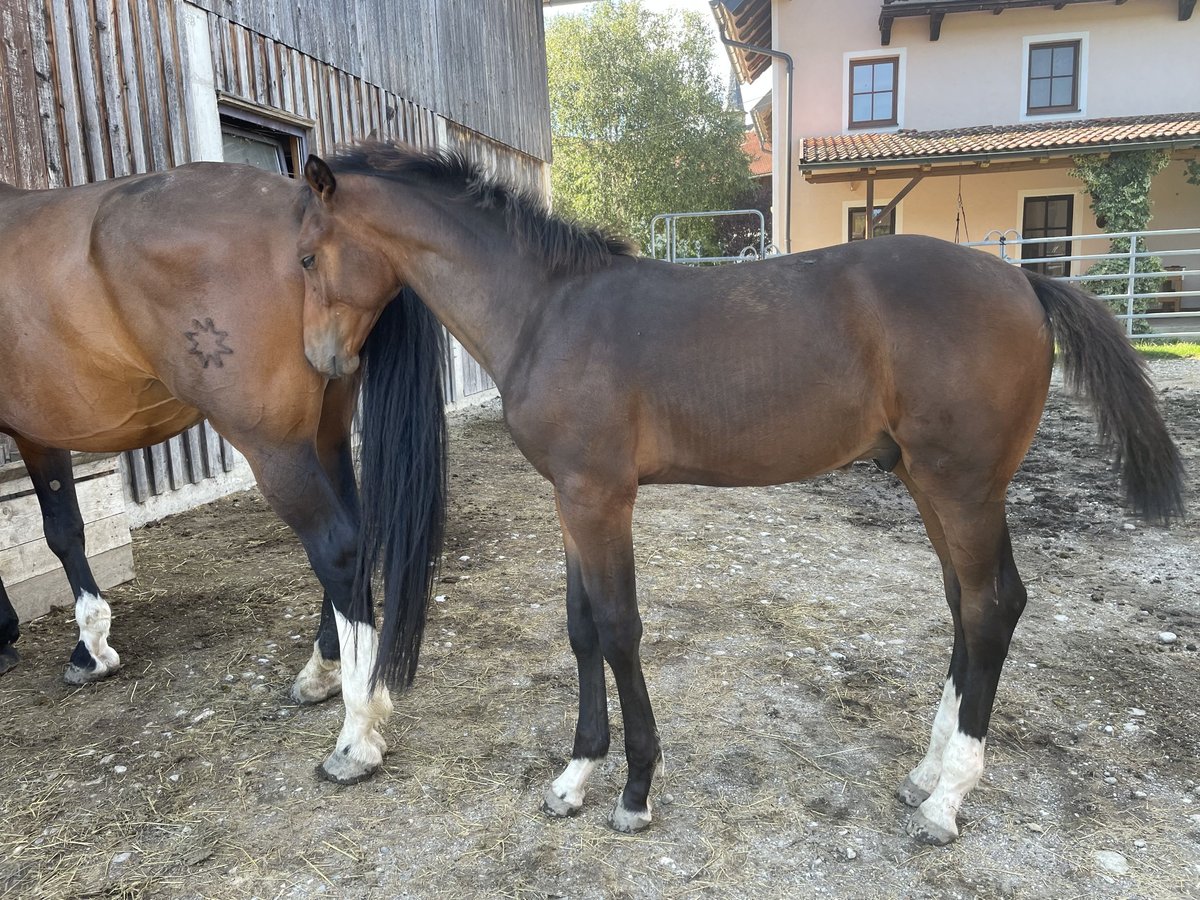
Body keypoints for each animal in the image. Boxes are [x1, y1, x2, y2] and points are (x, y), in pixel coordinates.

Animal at [0, 165, 448, 787]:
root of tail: (304, 202)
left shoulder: (31, 430)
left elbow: (55, 536)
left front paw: (82, 647)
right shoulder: (42, 427)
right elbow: (67, 527)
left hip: (275, 448)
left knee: (337, 547)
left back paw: (357, 732)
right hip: (327, 430)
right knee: (355, 536)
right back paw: (323, 671)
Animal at [297, 144, 1180, 849]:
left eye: (305, 258)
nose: (322, 364)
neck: (547, 311)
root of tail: (1024, 281)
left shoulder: (601, 498)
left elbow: (619, 631)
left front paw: (635, 790)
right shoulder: (569, 501)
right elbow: (581, 630)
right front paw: (576, 775)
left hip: (962, 487)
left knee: (993, 605)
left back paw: (947, 801)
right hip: (928, 483)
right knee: (966, 603)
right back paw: (927, 775)